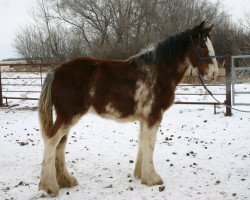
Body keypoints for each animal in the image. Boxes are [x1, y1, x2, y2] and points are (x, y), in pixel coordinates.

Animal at [38, 21, 218, 195]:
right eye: (202, 44)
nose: (214, 74)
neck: (158, 72)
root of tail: (56, 71)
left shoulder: (145, 118)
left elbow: (143, 142)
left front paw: (140, 174)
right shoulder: (154, 116)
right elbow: (150, 144)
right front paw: (152, 178)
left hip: (67, 116)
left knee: (60, 143)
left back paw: (65, 181)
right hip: (69, 116)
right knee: (52, 140)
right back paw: (50, 186)